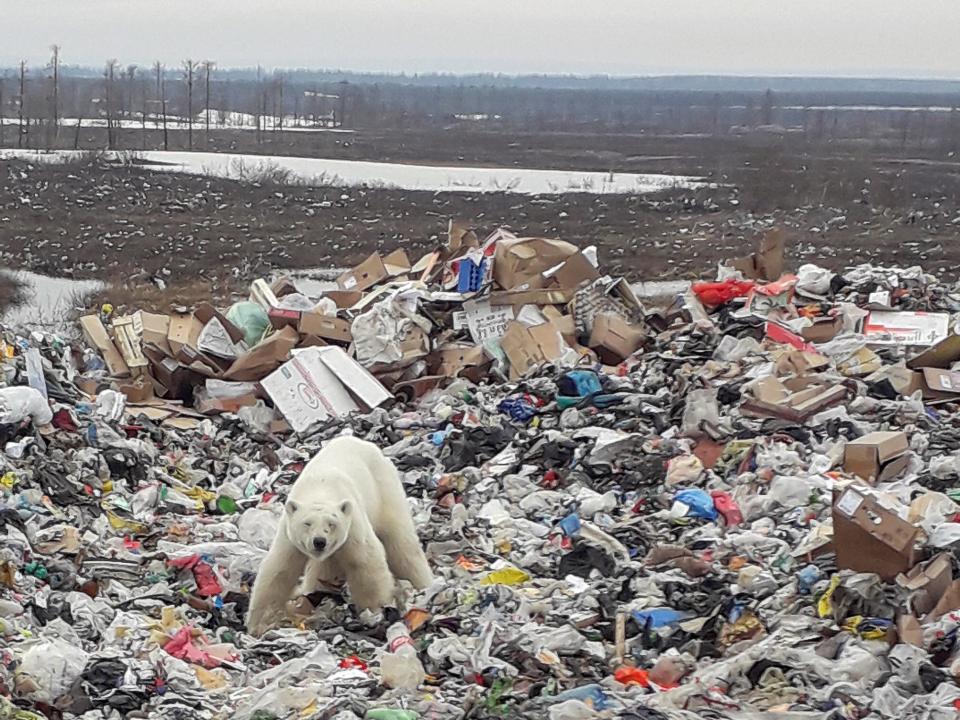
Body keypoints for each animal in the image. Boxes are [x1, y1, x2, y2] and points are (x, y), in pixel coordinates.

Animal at [246, 434, 434, 636]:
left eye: (331, 523)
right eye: (307, 523)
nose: (319, 541)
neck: (320, 487)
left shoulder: (352, 523)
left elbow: (366, 561)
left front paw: (374, 611)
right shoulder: (288, 534)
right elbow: (279, 570)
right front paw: (258, 624)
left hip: (384, 489)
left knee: (400, 542)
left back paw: (423, 585)